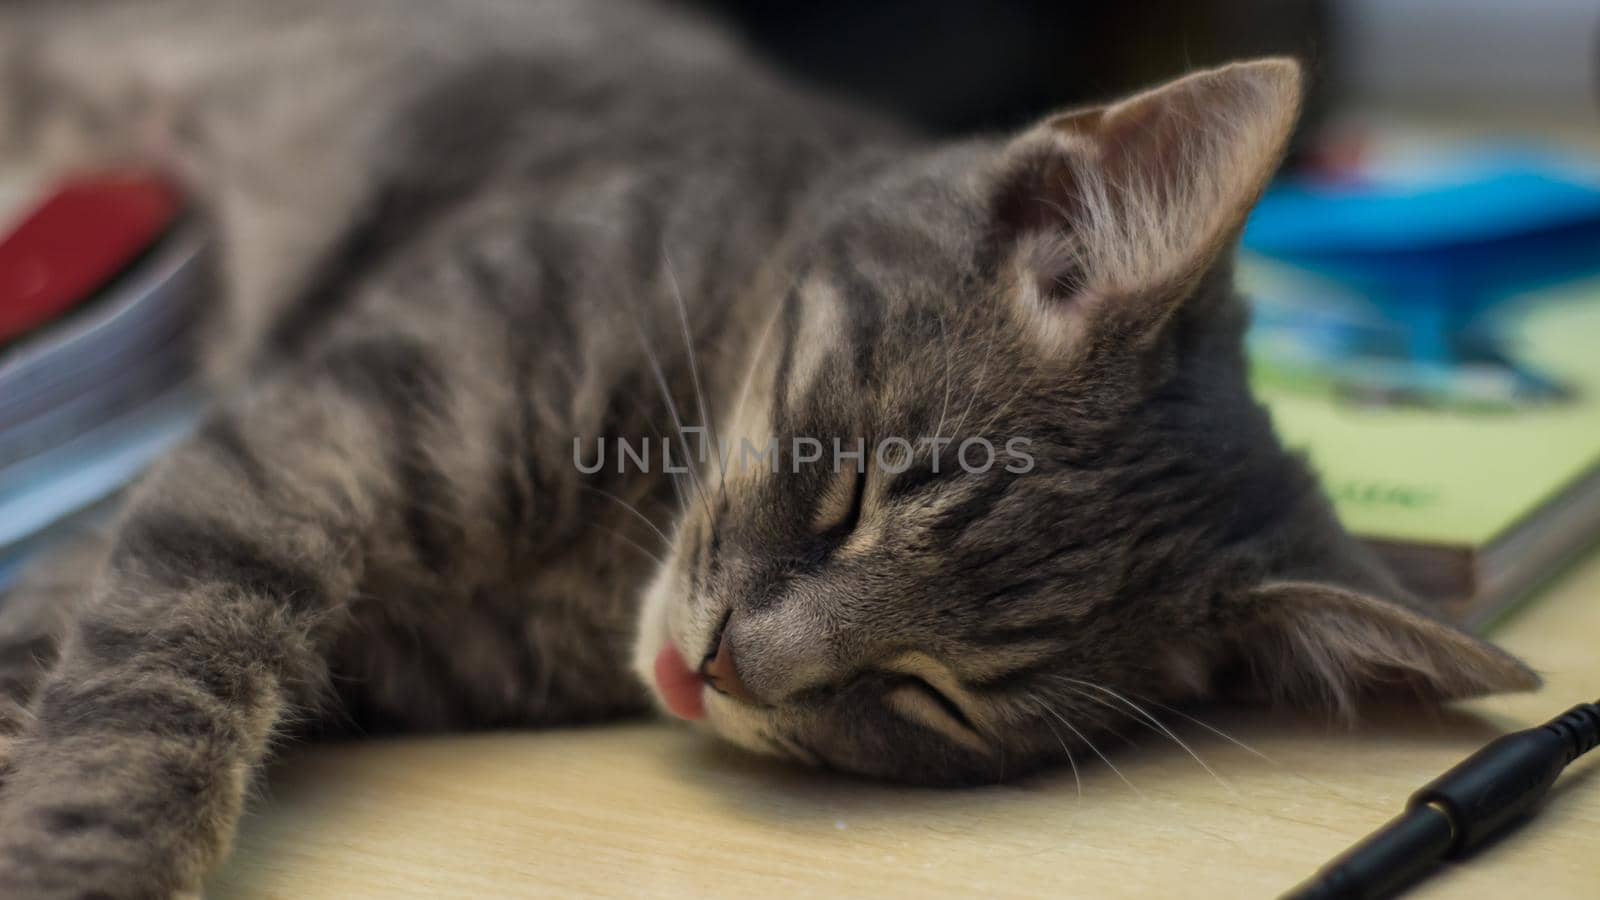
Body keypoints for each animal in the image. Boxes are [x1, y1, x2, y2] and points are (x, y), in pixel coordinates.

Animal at [0, 1, 1536, 896]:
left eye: (931, 695)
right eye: (854, 490)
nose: (727, 666)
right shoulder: (297, 445)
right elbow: (149, 687)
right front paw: (83, 868)